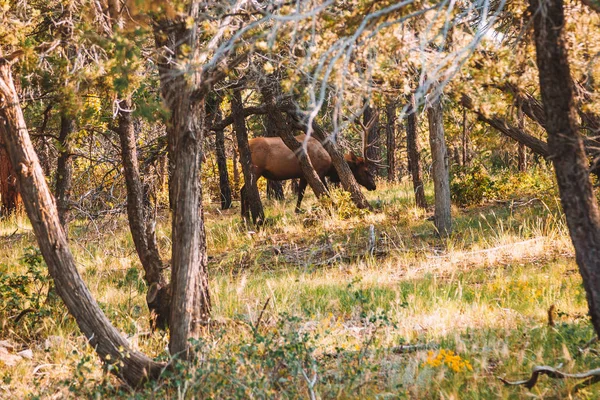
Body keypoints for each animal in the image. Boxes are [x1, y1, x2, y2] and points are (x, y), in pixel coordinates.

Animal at [243, 134, 376, 216]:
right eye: (366, 171)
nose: (374, 186)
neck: (330, 164)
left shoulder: (303, 175)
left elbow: (300, 194)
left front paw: (296, 211)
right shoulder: (319, 172)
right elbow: (325, 191)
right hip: (256, 170)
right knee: (244, 191)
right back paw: (246, 218)